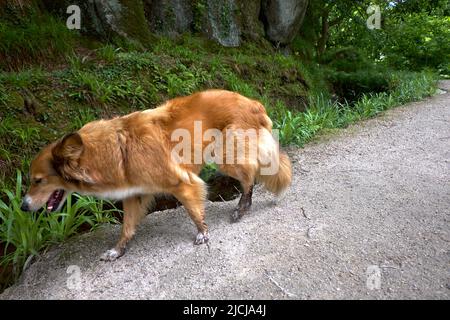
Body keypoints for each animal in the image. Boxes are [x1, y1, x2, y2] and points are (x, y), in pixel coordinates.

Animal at [22, 89, 292, 260]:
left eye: (38, 180)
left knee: (251, 174)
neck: (115, 151)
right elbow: (126, 228)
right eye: (31, 181)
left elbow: (194, 212)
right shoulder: (133, 194)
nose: (23, 207)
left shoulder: (183, 182)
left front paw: (203, 233)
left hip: (225, 156)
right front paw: (118, 251)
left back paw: (242, 207)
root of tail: (253, 102)